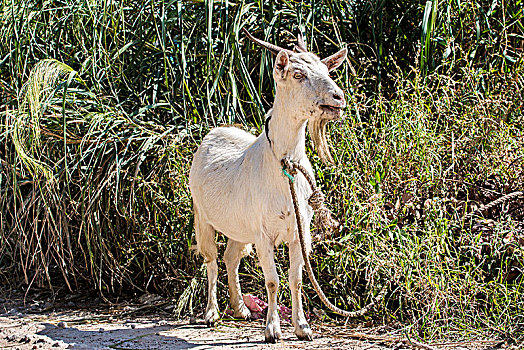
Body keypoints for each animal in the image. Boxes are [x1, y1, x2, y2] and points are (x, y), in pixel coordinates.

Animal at [189, 29, 348, 342]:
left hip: (239, 226)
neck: (285, 167)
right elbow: (273, 280)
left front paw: (302, 328)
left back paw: (240, 309)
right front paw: (272, 330)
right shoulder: (263, 235)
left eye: (326, 71)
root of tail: (213, 133)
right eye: (298, 74)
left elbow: (296, 279)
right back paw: (212, 314)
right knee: (211, 260)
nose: (337, 98)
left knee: (231, 258)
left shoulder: (299, 233)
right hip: (202, 216)